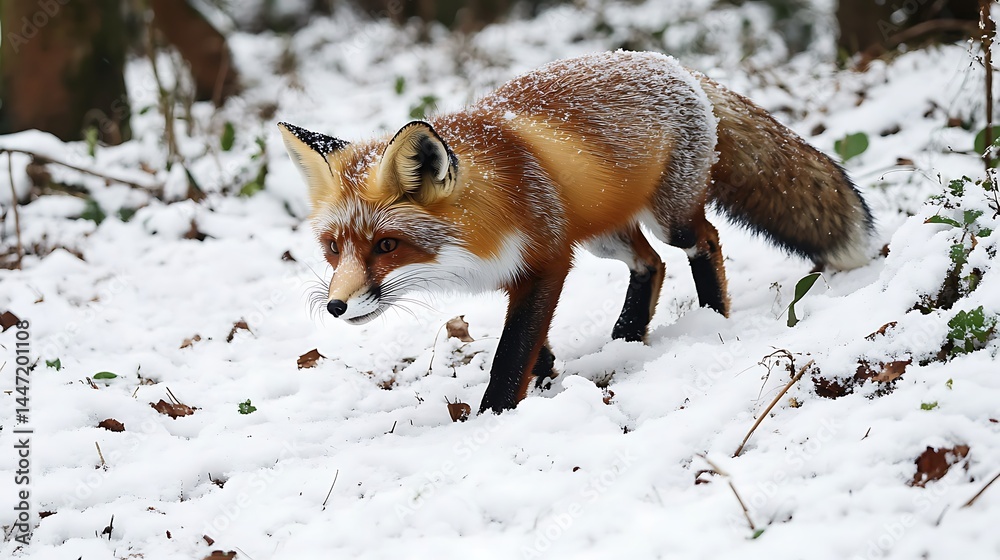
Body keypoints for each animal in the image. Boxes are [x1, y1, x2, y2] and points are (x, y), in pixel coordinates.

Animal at [278, 50, 873, 415]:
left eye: (386, 245)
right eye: (334, 248)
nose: (335, 306)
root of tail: (671, 64)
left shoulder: (548, 259)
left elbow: (512, 350)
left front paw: (495, 414)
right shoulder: (516, 274)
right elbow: (533, 343)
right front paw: (547, 380)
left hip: (669, 219)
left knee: (702, 241)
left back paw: (712, 317)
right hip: (602, 236)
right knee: (650, 263)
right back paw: (628, 335)